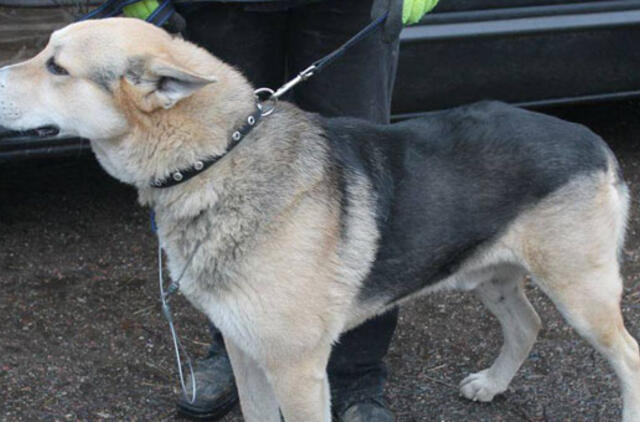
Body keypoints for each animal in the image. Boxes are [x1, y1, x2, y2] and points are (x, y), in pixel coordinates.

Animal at [1, 17, 640, 422]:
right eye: (44, 54)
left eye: (56, 67)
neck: (220, 156)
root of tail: (591, 139)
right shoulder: (245, 352)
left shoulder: (298, 368)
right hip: (491, 274)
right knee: (527, 325)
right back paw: (491, 384)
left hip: (582, 293)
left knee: (628, 356)